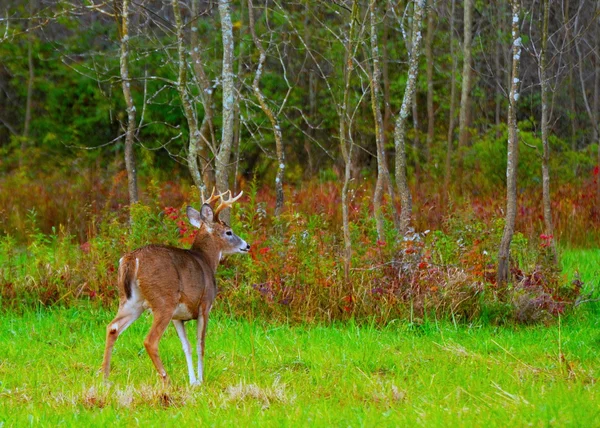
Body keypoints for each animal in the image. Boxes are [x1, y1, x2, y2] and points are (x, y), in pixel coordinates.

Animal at [101, 189, 248, 386]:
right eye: (229, 232)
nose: (247, 245)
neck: (207, 261)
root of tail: (132, 259)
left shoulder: (179, 317)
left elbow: (186, 346)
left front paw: (192, 381)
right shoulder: (205, 305)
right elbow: (200, 344)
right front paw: (200, 380)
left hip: (130, 300)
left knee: (112, 327)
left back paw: (105, 378)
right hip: (164, 300)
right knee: (150, 340)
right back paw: (166, 379)